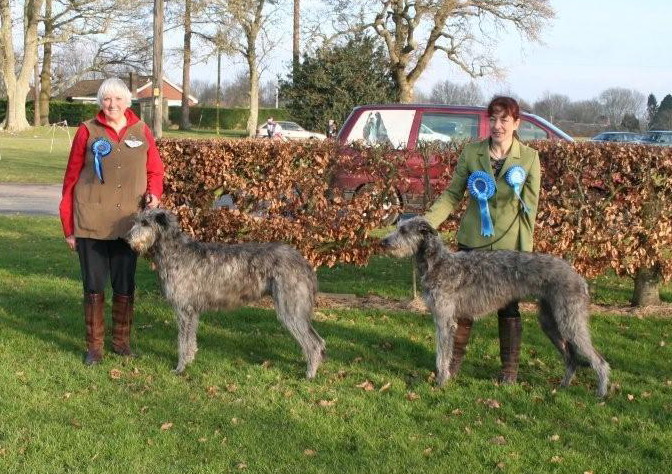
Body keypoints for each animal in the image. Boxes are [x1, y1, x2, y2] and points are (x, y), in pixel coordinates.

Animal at [126, 209, 328, 380]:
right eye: (136, 220)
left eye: (145, 222)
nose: (127, 238)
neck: (176, 252)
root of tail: (304, 263)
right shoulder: (193, 312)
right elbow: (190, 340)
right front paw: (190, 361)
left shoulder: (184, 310)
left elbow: (182, 341)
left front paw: (180, 368)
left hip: (291, 309)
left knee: (314, 342)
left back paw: (310, 374)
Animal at [384, 218, 608, 396]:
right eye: (398, 227)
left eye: (403, 231)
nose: (383, 242)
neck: (438, 263)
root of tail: (578, 277)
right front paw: (445, 378)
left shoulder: (444, 320)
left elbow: (442, 354)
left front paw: (440, 382)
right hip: (550, 322)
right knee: (571, 358)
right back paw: (563, 386)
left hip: (570, 322)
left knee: (599, 360)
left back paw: (601, 393)